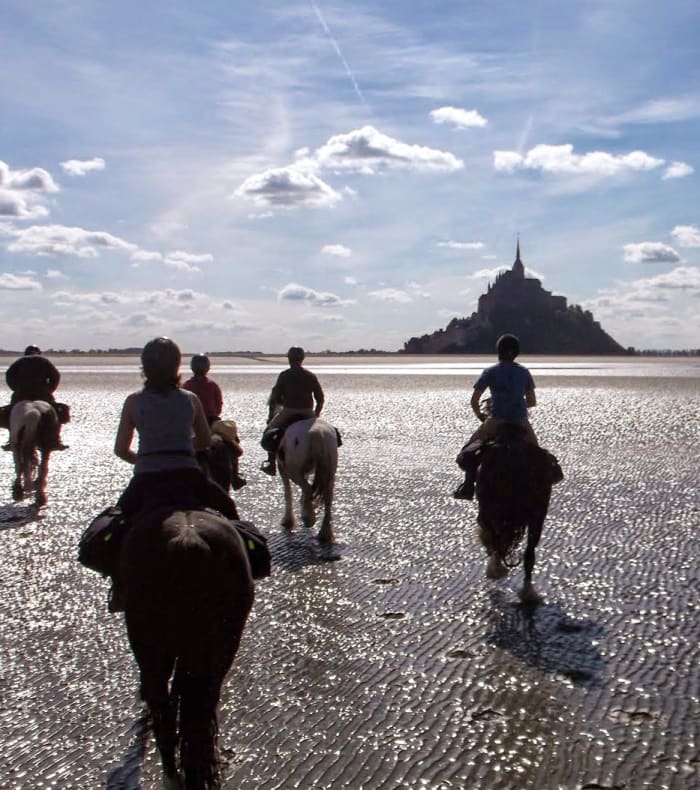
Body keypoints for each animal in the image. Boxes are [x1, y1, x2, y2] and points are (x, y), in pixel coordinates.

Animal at [474, 429, 553, 604]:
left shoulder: (486, 514)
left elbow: (489, 537)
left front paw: (495, 568)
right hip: (537, 515)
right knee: (529, 553)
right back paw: (528, 592)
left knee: (497, 539)